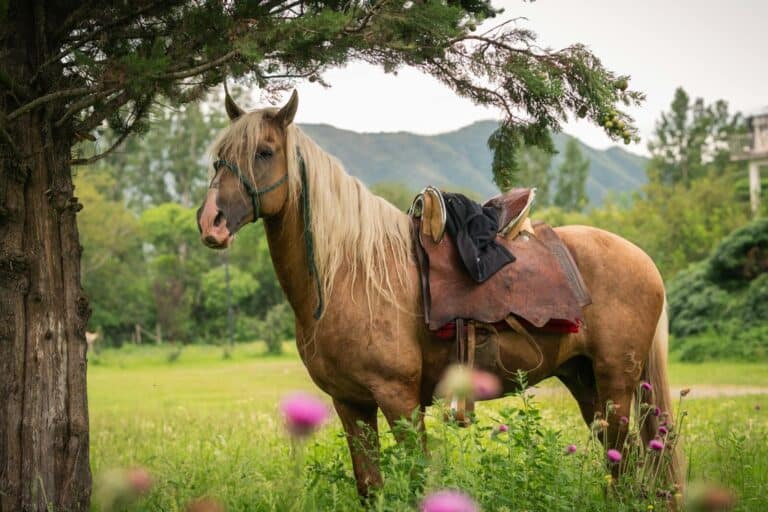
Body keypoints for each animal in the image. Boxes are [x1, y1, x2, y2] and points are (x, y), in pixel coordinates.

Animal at [196, 89, 683, 498]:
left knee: (625, 463)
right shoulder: (351, 403)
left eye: (264, 152)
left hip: (616, 384)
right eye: (219, 159)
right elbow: (370, 486)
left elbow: (416, 480)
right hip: (584, 381)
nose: (210, 223)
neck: (348, 276)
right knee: (622, 463)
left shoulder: (399, 400)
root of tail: (643, 259)